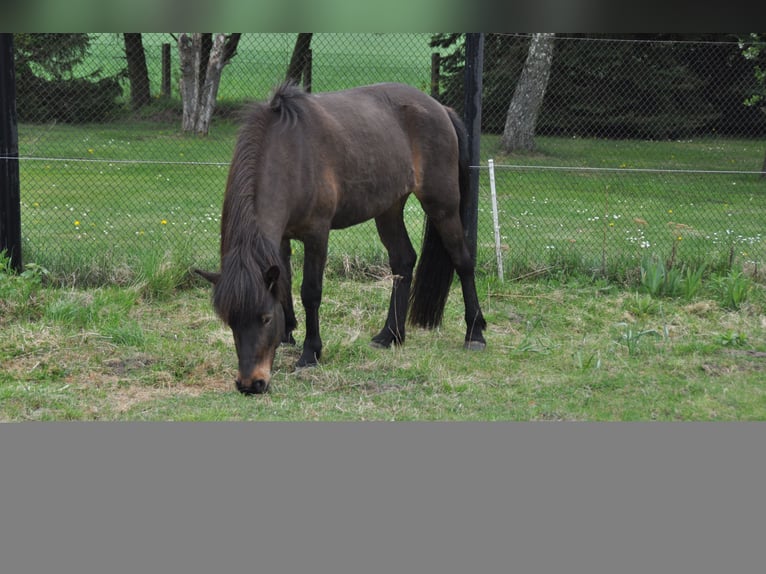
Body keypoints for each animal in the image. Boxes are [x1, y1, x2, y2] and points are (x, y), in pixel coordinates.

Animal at [196, 82, 487, 394]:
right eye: (230, 322)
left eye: (265, 318)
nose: (250, 384)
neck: (291, 154)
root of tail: (440, 109)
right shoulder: (282, 238)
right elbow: (285, 281)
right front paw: (288, 334)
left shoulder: (317, 235)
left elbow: (310, 292)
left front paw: (310, 352)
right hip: (389, 207)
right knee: (403, 261)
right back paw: (390, 335)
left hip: (442, 204)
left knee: (462, 260)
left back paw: (475, 333)